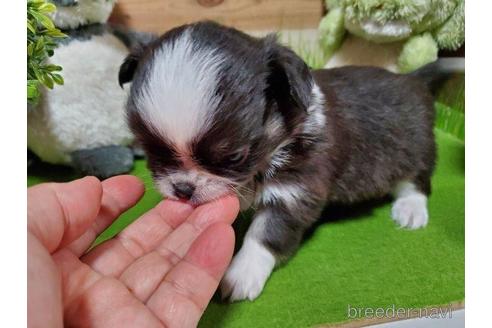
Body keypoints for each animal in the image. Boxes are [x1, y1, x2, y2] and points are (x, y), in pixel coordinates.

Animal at [118, 21, 462, 302]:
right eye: (152, 152)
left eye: (234, 156)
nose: (183, 189)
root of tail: (411, 79)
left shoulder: (294, 192)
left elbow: (264, 233)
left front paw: (242, 272)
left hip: (414, 148)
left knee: (417, 181)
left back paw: (411, 208)